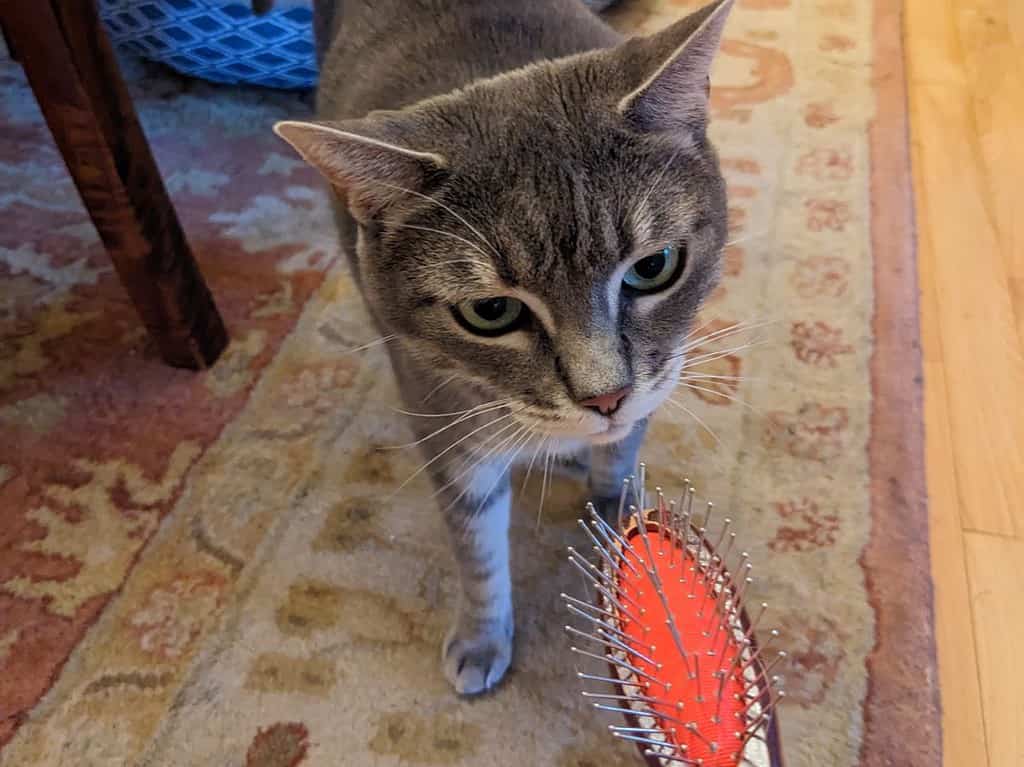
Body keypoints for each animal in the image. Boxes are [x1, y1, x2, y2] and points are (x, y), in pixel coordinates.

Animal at [276, 0, 733, 692]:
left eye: (654, 267)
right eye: (491, 312)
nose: (606, 397)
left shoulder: (659, 376)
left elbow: (619, 460)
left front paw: (623, 527)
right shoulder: (449, 431)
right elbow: (478, 550)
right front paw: (483, 636)